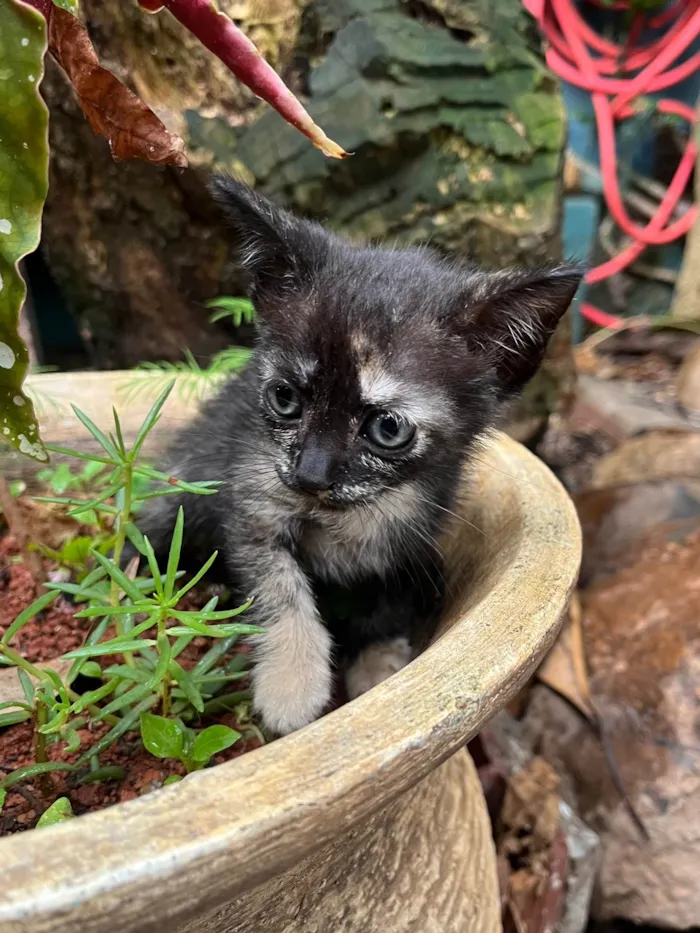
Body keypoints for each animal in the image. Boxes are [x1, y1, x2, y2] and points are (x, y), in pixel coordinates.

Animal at [134, 180, 584, 736]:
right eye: (284, 398)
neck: (347, 515)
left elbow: (387, 603)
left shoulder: (409, 541)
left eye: (387, 428)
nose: (310, 474)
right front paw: (292, 684)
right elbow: (278, 586)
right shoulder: (252, 502)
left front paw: (378, 670)